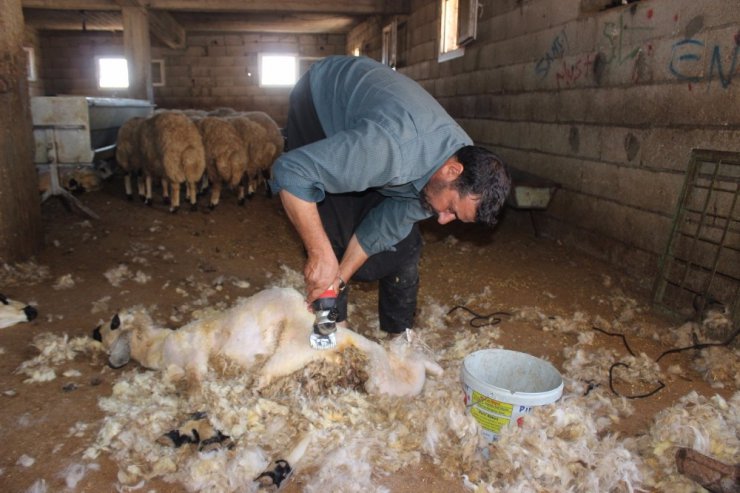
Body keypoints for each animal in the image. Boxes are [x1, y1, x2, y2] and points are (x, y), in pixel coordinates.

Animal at [90, 284, 442, 396]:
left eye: (113, 321)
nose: (94, 331)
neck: (158, 347)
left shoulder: (192, 357)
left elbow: (195, 378)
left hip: (287, 352)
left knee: (262, 376)